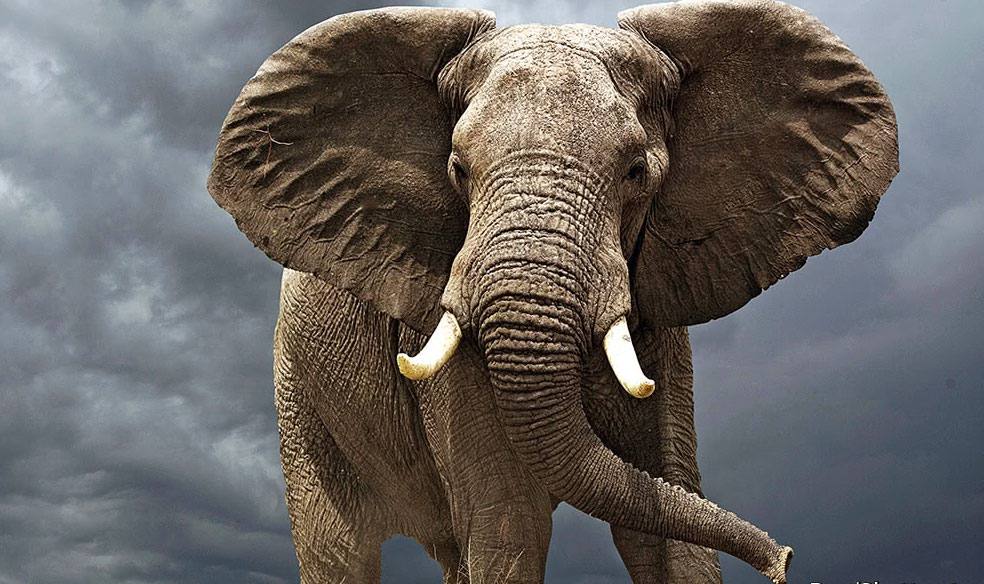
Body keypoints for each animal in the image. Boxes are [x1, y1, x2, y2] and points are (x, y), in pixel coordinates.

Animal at [207, 2, 898, 583]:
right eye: (457, 169)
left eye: (637, 172)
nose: (785, 560)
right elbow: (510, 524)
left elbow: (665, 521)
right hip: (298, 393)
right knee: (339, 550)